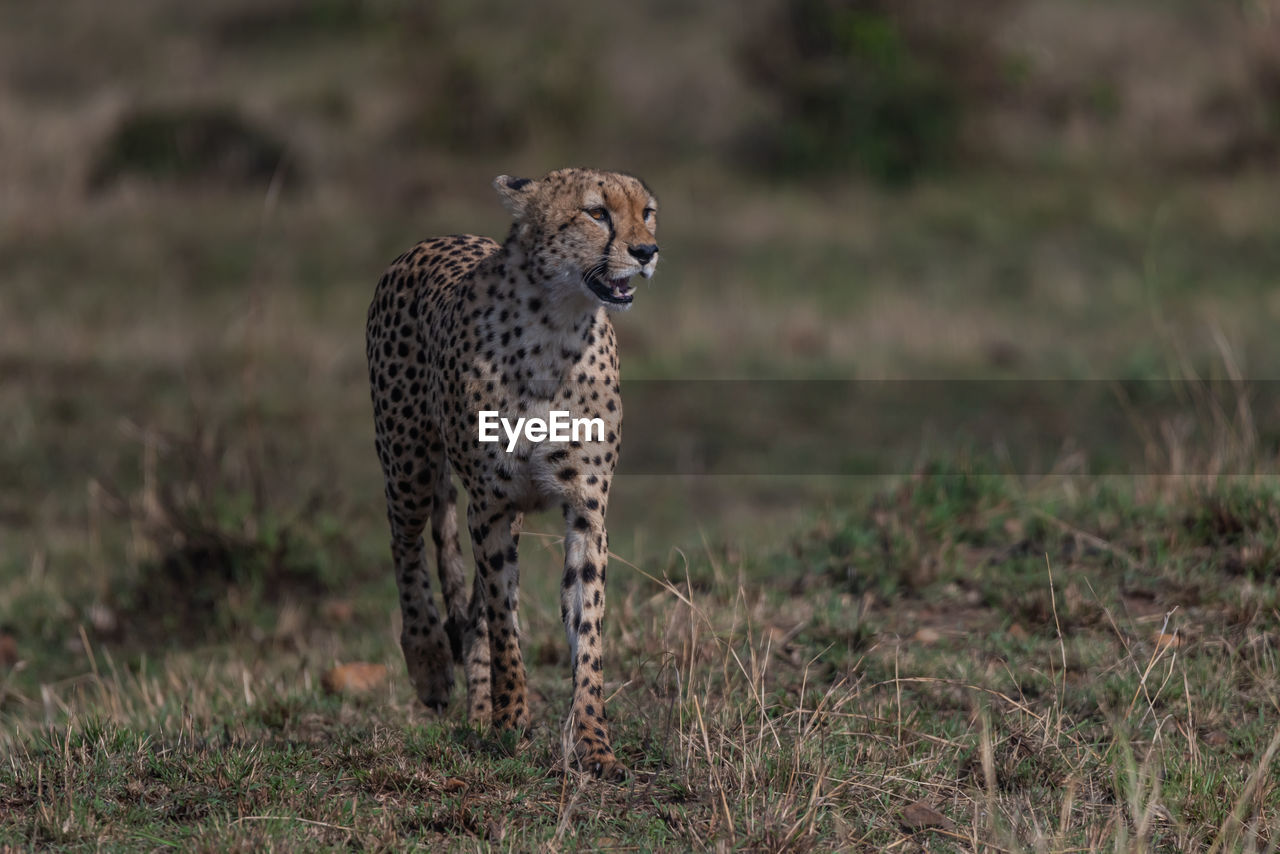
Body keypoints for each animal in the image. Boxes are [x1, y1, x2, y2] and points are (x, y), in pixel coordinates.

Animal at [363, 165, 655, 783]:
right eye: (597, 212)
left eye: (647, 212)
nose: (647, 251)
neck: (557, 327)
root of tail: (433, 239)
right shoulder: (491, 507)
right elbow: (505, 623)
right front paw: (513, 720)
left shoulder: (584, 509)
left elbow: (586, 629)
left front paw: (592, 742)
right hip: (408, 461)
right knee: (406, 547)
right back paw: (431, 663)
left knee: (467, 604)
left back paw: (477, 712)